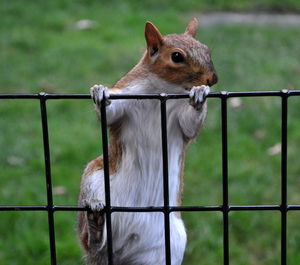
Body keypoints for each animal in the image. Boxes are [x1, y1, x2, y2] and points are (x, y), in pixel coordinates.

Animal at [78, 17, 217, 262]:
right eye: (177, 56)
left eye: (206, 49)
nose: (212, 79)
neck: (161, 90)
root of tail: (121, 250)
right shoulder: (125, 95)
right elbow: (110, 113)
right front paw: (101, 92)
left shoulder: (180, 123)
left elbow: (190, 126)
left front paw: (200, 95)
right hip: (95, 180)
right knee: (91, 243)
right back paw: (95, 228)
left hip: (167, 248)